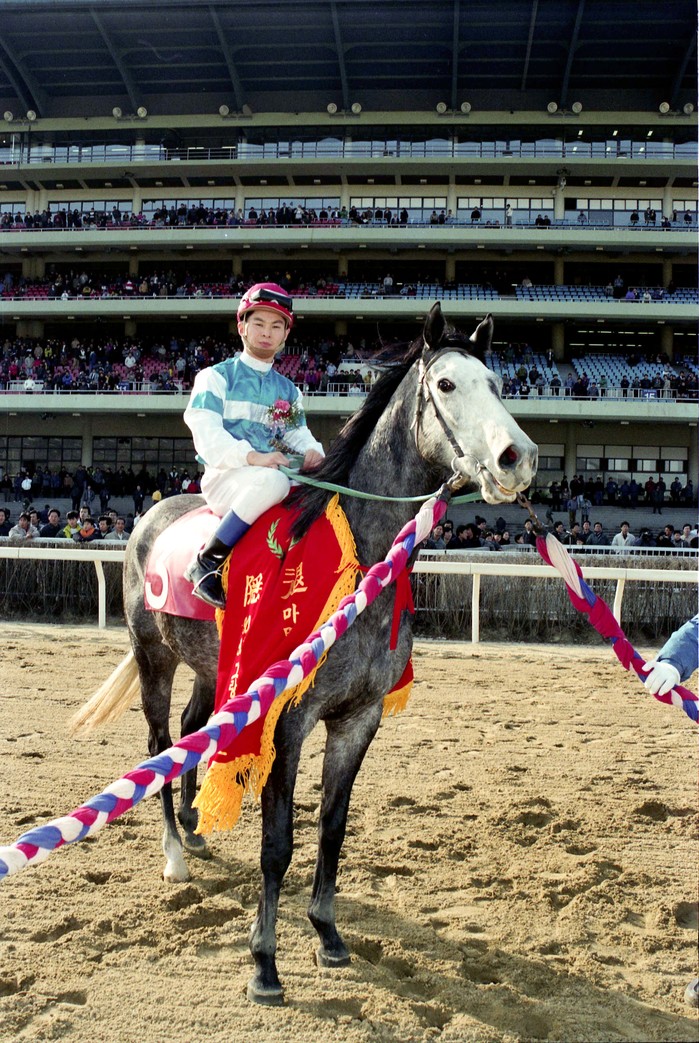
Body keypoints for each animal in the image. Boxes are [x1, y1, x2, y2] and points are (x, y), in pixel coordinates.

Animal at [73, 303, 538, 1004]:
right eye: (448, 384)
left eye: (500, 383)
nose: (518, 458)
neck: (359, 564)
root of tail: (154, 515)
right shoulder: (287, 718)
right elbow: (278, 840)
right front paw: (264, 963)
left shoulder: (358, 717)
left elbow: (332, 826)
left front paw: (327, 933)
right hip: (154, 655)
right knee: (159, 743)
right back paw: (176, 853)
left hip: (214, 668)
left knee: (193, 727)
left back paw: (197, 827)